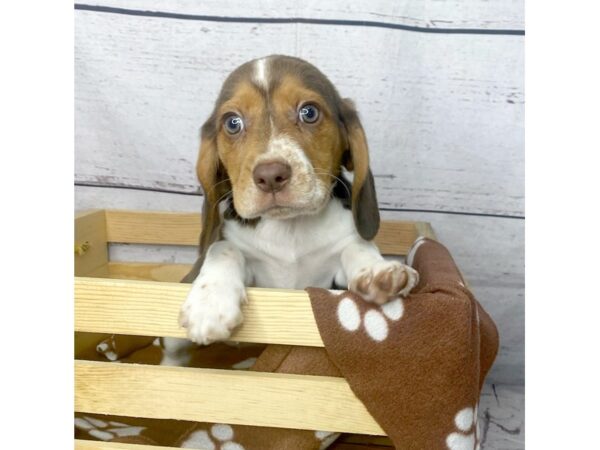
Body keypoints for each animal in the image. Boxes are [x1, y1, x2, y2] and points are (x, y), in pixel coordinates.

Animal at [180, 56, 420, 344]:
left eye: (309, 112)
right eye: (232, 123)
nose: (270, 176)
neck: (289, 228)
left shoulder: (331, 276)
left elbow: (357, 246)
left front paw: (378, 271)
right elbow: (222, 248)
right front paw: (209, 303)